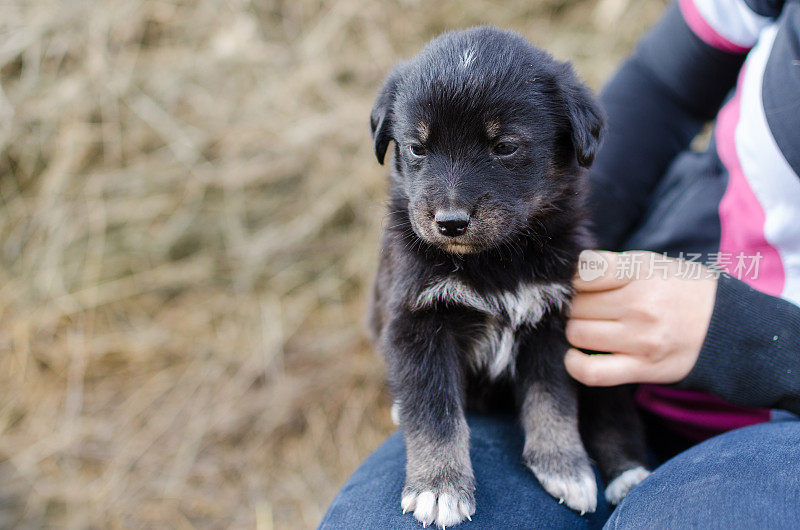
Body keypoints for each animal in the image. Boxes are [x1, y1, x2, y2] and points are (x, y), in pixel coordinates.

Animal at [368, 26, 648, 524]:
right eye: (418, 147)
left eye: (505, 147)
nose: (450, 222)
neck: (493, 261)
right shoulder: (416, 321)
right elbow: (435, 412)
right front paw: (439, 487)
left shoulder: (553, 316)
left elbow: (552, 398)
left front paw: (564, 467)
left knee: (612, 410)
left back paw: (628, 475)